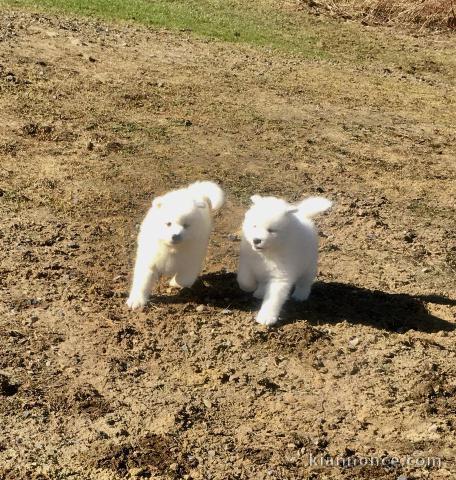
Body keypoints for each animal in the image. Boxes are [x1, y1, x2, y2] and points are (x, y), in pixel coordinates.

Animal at [126, 181, 224, 312]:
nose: (175, 235)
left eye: (186, 225)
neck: (172, 249)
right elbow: (142, 282)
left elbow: (183, 278)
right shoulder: (149, 260)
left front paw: (175, 282)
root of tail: (191, 191)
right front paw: (136, 301)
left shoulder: (192, 259)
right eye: (168, 223)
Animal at [239, 195, 332, 326]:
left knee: (305, 282)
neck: (267, 253)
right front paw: (250, 287)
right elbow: (244, 280)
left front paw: (266, 317)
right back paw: (260, 292)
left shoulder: (281, 275)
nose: (256, 240)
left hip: (309, 265)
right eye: (254, 226)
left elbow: (273, 298)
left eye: (271, 230)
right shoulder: (247, 262)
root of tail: (303, 214)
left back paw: (300, 295)